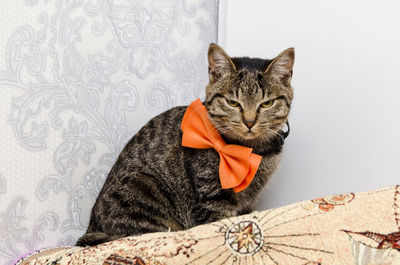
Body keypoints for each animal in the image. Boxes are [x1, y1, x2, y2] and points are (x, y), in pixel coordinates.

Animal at [76, 42, 294, 245]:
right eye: (232, 103)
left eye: (266, 103)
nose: (249, 122)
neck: (253, 151)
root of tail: (91, 226)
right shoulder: (212, 200)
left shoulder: (248, 203)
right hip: (143, 185)